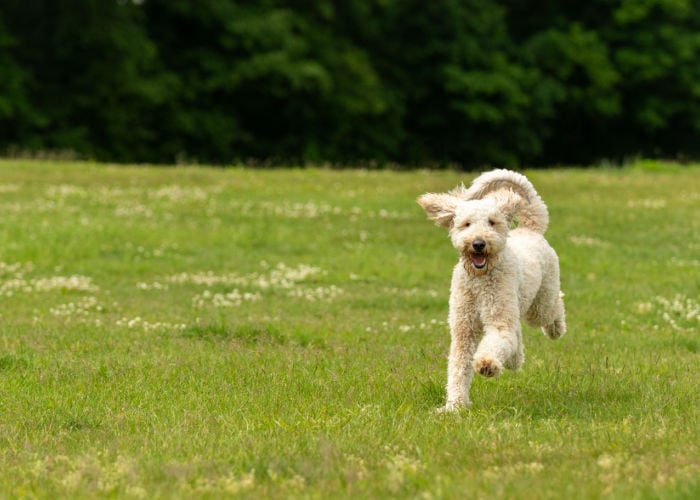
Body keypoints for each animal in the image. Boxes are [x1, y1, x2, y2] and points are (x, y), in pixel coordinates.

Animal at [418, 170, 568, 412]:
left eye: (492, 222)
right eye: (466, 224)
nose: (479, 243)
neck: (480, 281)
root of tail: (530, 228)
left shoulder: (498, 320)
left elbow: (495, 341)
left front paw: (487, 364)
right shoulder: (463, 329)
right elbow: (458, 368)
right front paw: (454, 406)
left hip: (539, 304)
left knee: (554, 307)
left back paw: (556, 329)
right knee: (517, 338)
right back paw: (514, 359)